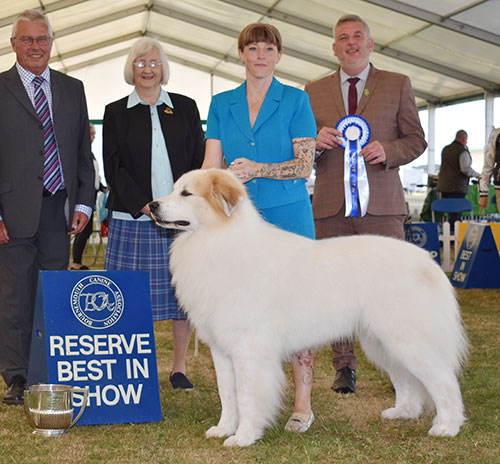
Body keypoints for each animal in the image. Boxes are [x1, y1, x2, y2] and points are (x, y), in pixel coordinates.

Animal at [149, 169, 468, 446]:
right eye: (174, 190)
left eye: (187, 193)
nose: (152, 205)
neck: (218, 240)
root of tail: (428, 262)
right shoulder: (221, 350)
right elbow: (228, 394)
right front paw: (224, 429)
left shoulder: (249, 351)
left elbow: (247, 397)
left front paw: (243, 437)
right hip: (382, 342)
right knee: (406, 379)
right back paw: (403, 412)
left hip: (406, 339)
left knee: (444, 381)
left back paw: (447, 427)